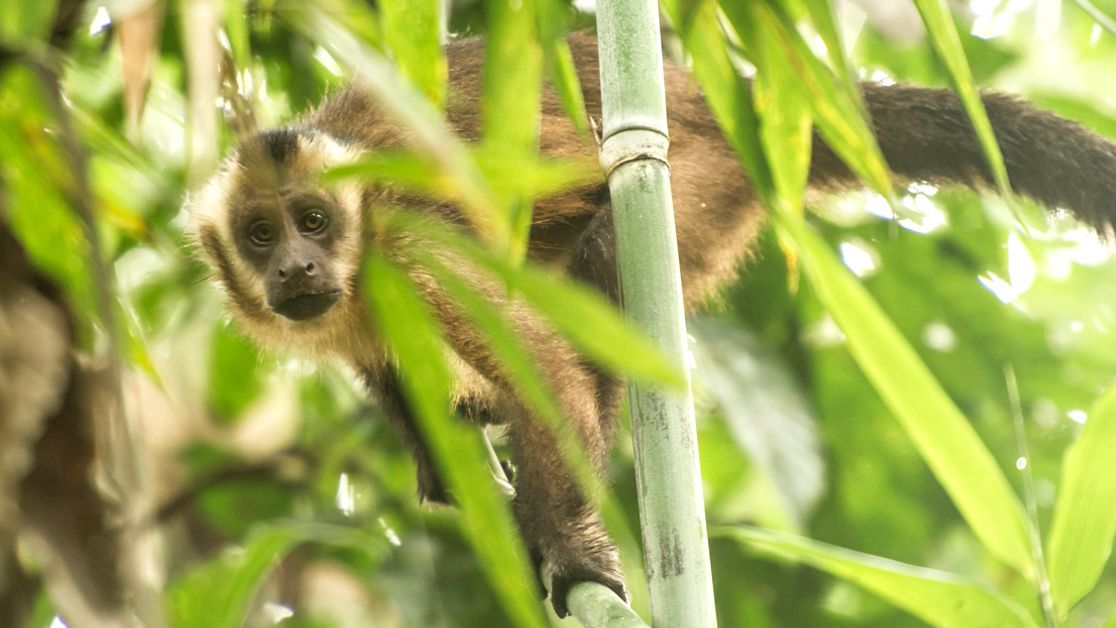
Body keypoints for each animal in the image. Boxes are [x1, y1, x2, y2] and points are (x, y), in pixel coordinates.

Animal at [187, 32, 1116, 618]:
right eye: (261, 234)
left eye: (313, 221)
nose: (295, 268)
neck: (357, 253)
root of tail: (713, 104)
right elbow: (393, 372)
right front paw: (440, 454)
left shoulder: (411, 248)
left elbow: (544, 369)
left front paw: (571, 548)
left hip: (696, 183)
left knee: (603, 270)